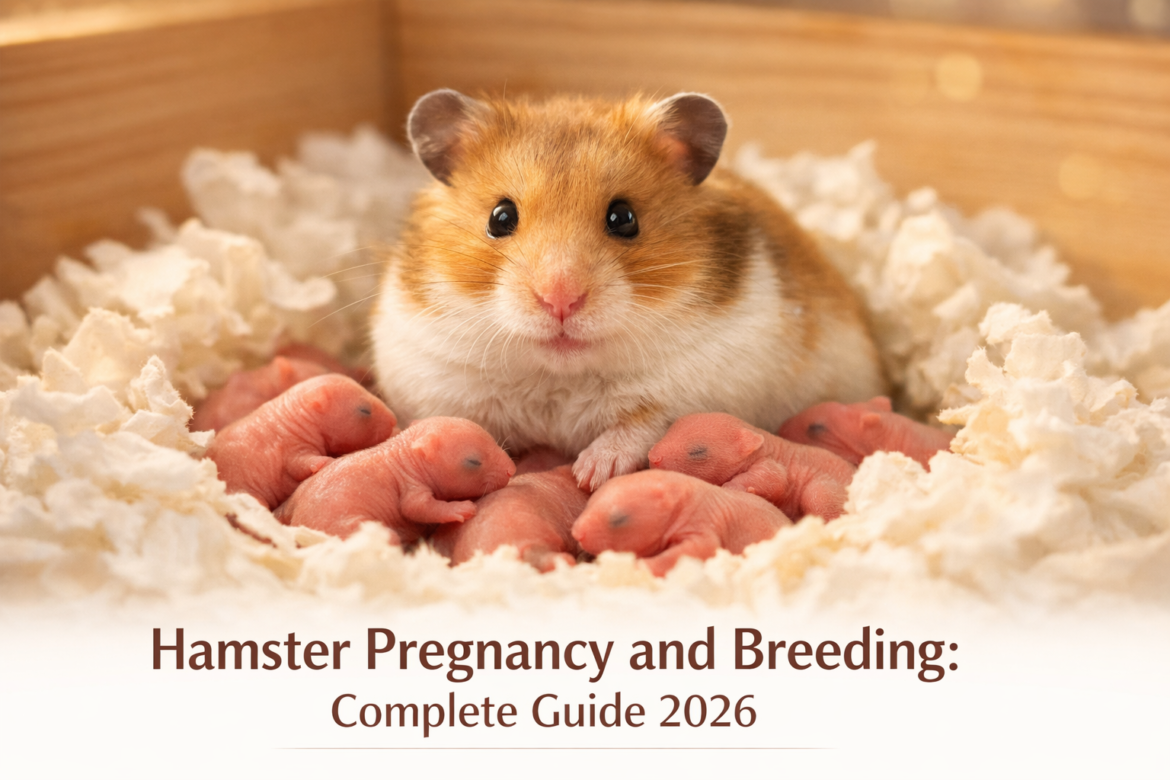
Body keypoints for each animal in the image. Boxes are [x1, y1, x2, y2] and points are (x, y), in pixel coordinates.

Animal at [371, 89, 884, 491]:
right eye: (500, 217)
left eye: (623, 218)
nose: (561, 300)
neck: (559, 375)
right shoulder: (433, 374)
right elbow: (461, 424)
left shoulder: (701, 386)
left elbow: (642, 426)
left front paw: (590, 473)